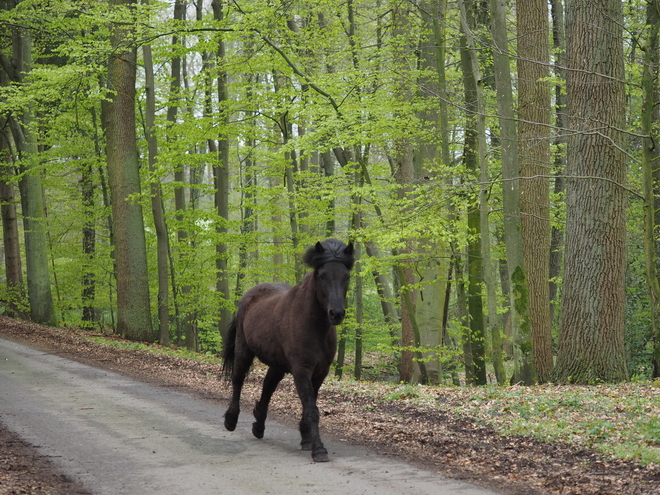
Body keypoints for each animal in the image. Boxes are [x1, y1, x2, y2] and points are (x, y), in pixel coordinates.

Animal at [222, 238, 354, 464]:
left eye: (346, 276)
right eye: (322, 275)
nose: (336, 314)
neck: (314, 325)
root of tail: (249, 295)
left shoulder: (320, 372)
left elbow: (309, 404)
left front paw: (307, 439)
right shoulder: (302, 370)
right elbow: (311, 409)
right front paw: (319, 449)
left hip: (278, 364)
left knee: (267, 387)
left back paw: (259, 425)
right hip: (244, 350)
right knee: (238, 380)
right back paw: (231, 420)